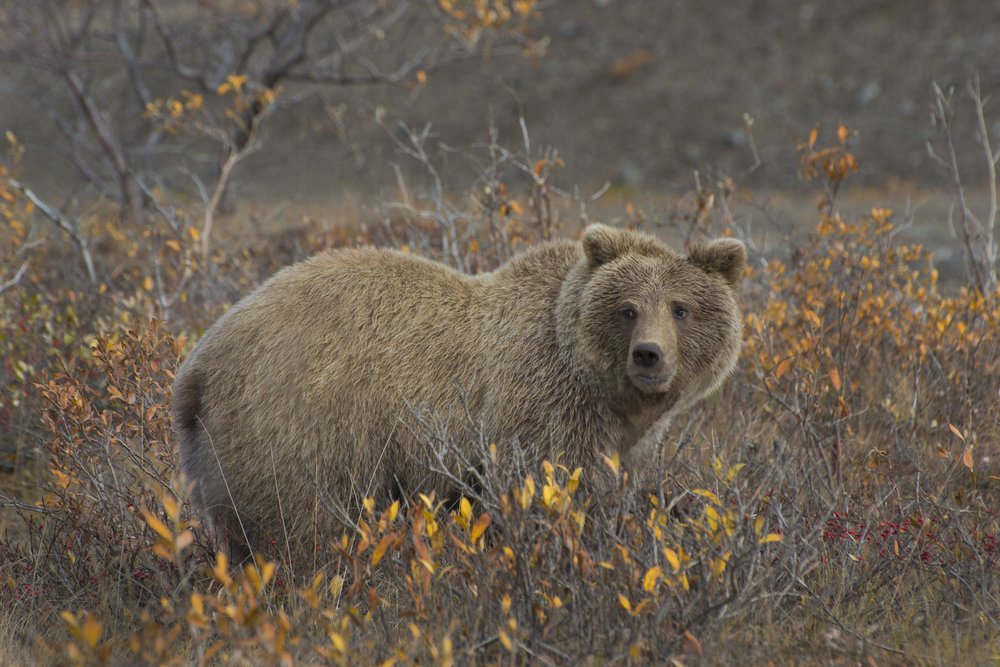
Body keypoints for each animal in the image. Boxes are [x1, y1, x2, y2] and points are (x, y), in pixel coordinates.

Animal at [172, 223, 748, 560]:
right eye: (627, 308)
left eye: (681, 308)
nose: (649, 354)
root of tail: (196, 366)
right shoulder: (540, 404)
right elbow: (540, 488)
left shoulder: (623, 441)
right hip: (301, 424)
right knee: (301, 527)